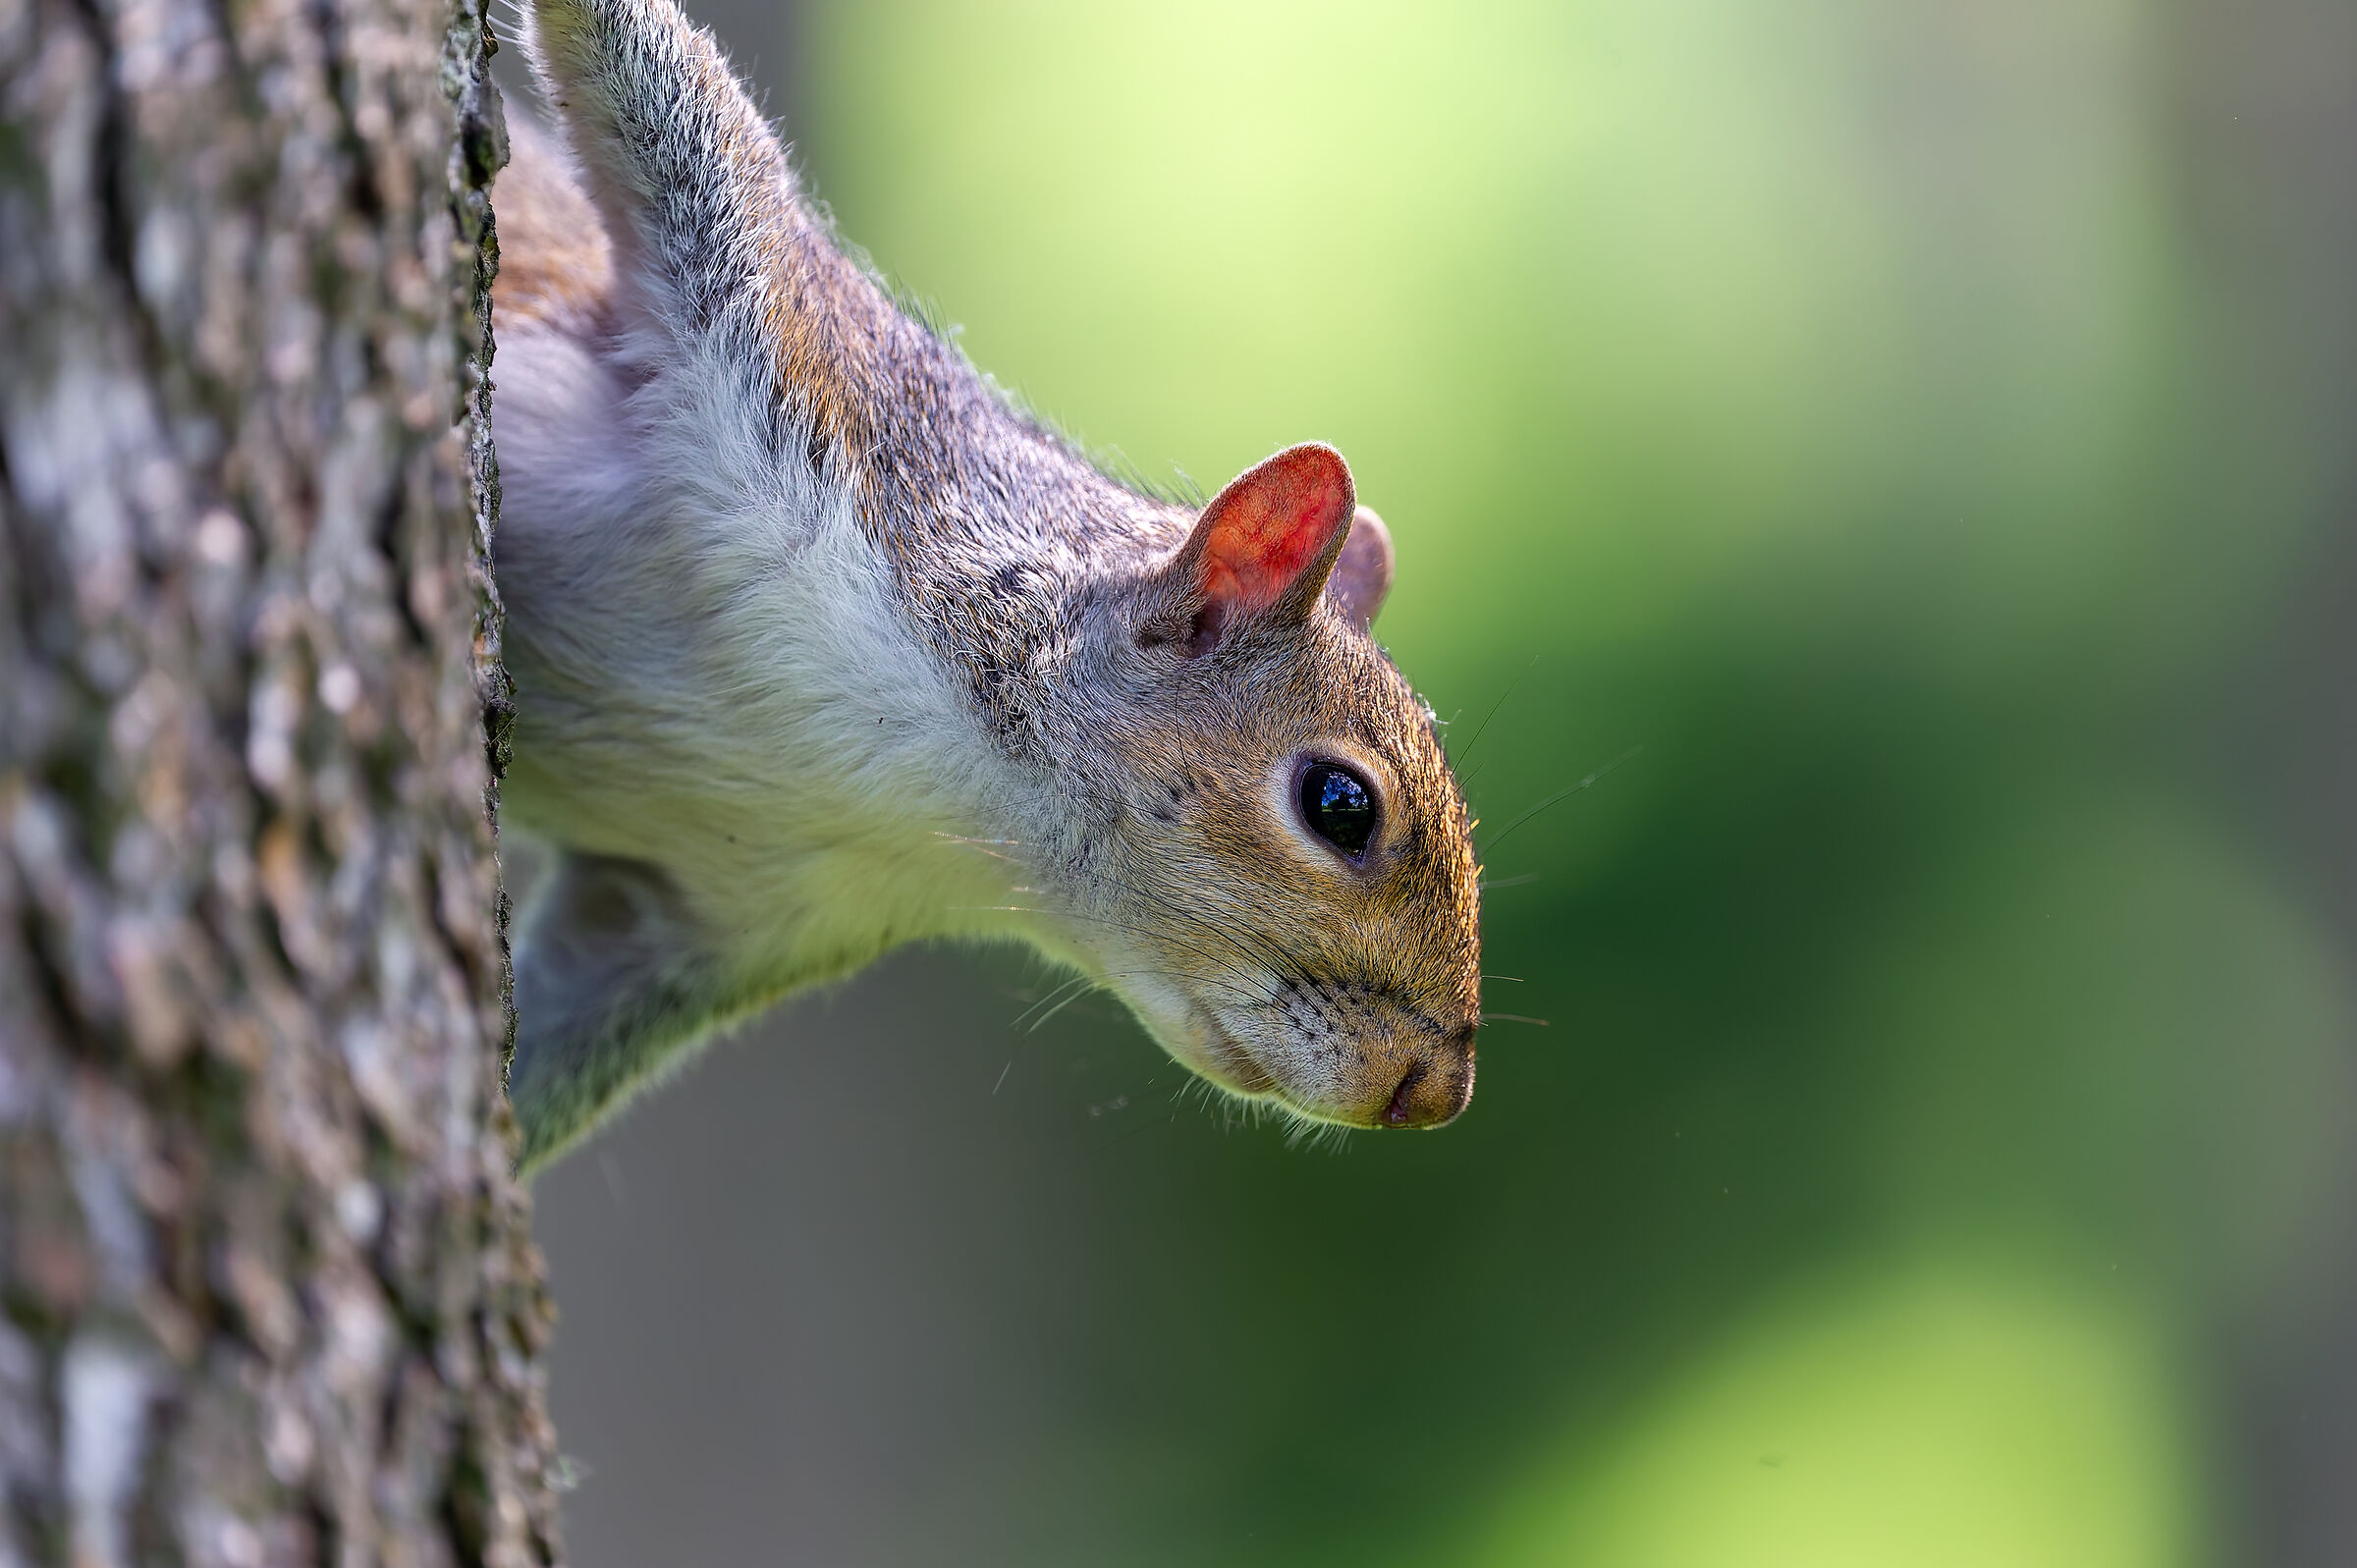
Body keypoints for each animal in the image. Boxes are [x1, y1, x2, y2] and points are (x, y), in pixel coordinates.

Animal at [490, 0, 1484, 1171]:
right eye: (1341, 806)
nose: (1435, 1092)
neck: (943, 787)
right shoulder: (817, 370)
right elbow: (676, 101)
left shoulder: (713, 910)